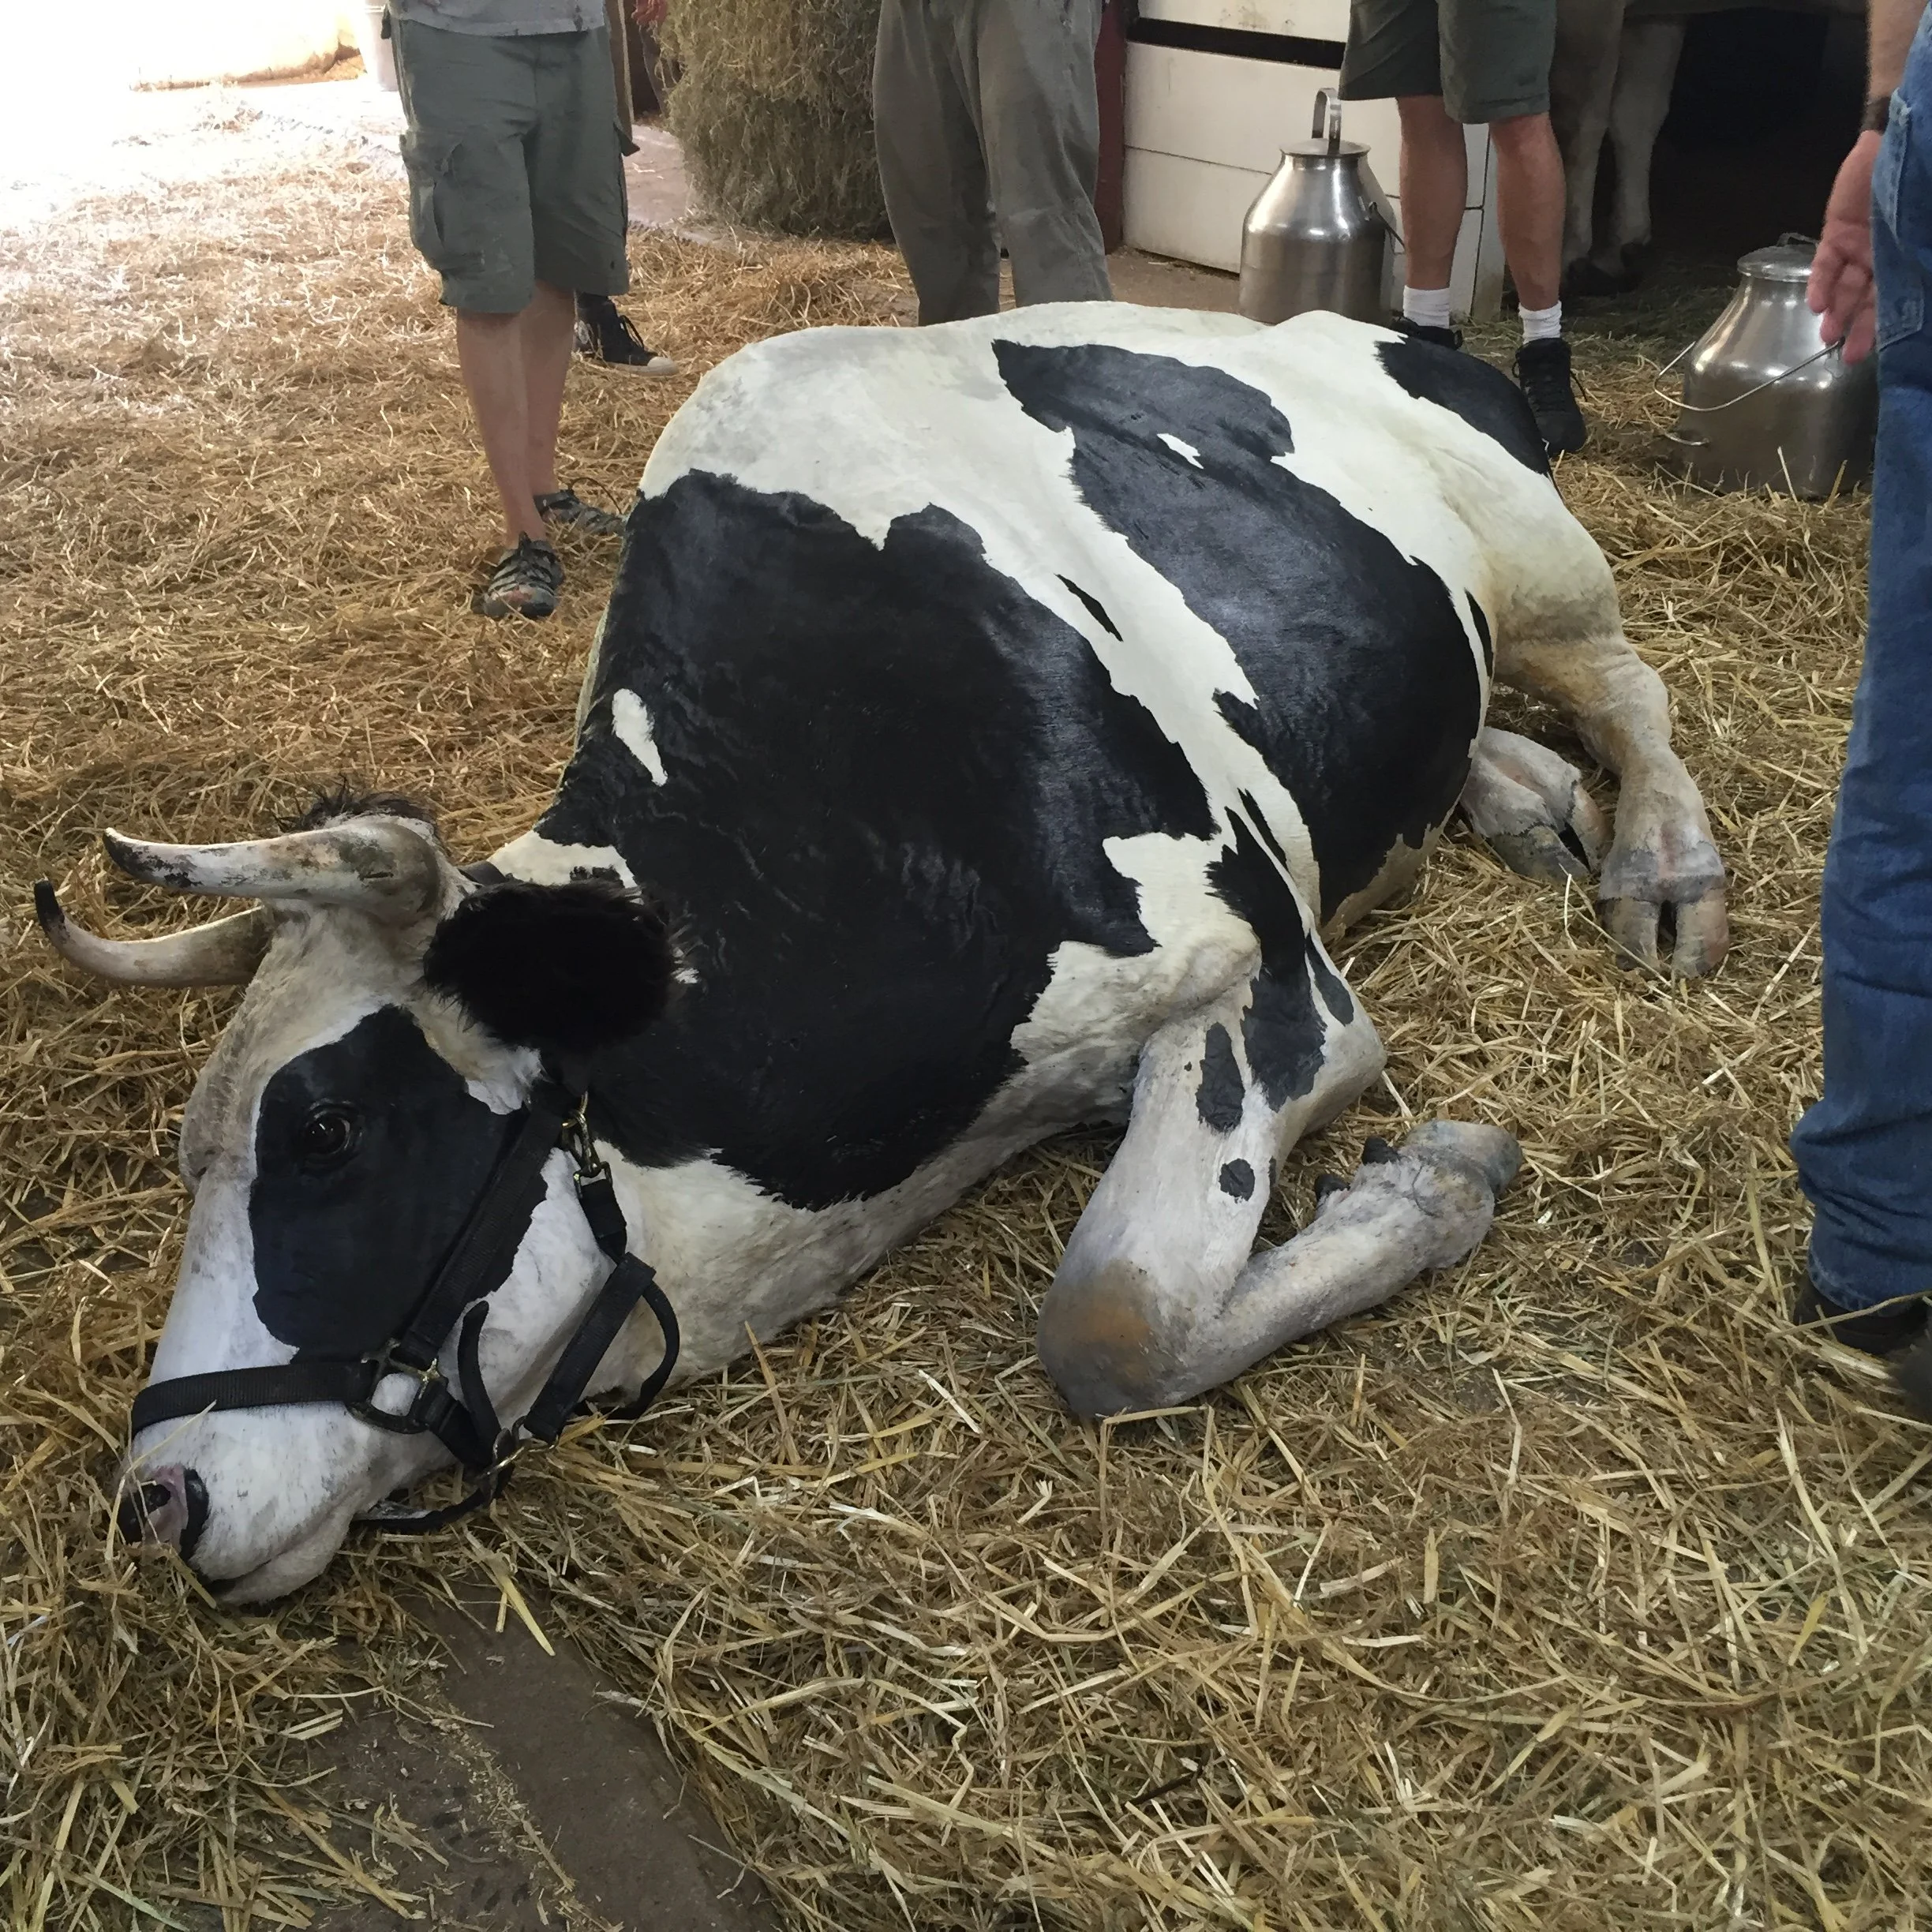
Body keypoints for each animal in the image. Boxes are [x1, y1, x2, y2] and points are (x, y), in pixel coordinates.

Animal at [39, 304, 1728, 1604]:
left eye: (328, 1129)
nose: (155, 1500)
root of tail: (1365, 326)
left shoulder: (1262, 975)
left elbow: (1111, 1325)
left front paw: (1432, 1182)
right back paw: (1524, 799)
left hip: (1536, 549)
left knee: (1628, 684)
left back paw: (1656, 860)